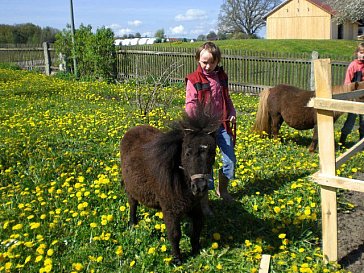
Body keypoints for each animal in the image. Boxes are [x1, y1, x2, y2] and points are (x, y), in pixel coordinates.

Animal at [121, 104, 220, 264]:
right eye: (187, 153)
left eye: (212, 153)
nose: (200, 187)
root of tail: (134, 129)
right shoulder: (170, 210)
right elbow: (174, 234)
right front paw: (176, 259)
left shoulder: (195, 207)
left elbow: (197, 228)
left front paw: (196, 249)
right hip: (131, 189)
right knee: (132, 204)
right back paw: (132, 223)